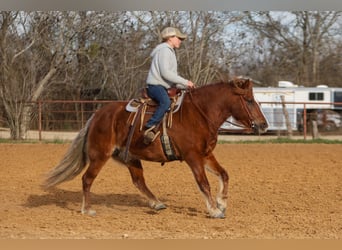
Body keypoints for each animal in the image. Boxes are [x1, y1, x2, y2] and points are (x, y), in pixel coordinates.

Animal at [42, 77, 268, 218]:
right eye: (249, 100)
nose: (263, 125)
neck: (200, 114)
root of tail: (97, 116)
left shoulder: (205, 155)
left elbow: (224, 174)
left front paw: (222, 203)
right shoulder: (192, 157)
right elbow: (203, 183)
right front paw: (214, 210)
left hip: (130, 156)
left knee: (138, 181)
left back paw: (156, 203)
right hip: (100, 156)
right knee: (87, 179)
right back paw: (87, 210)